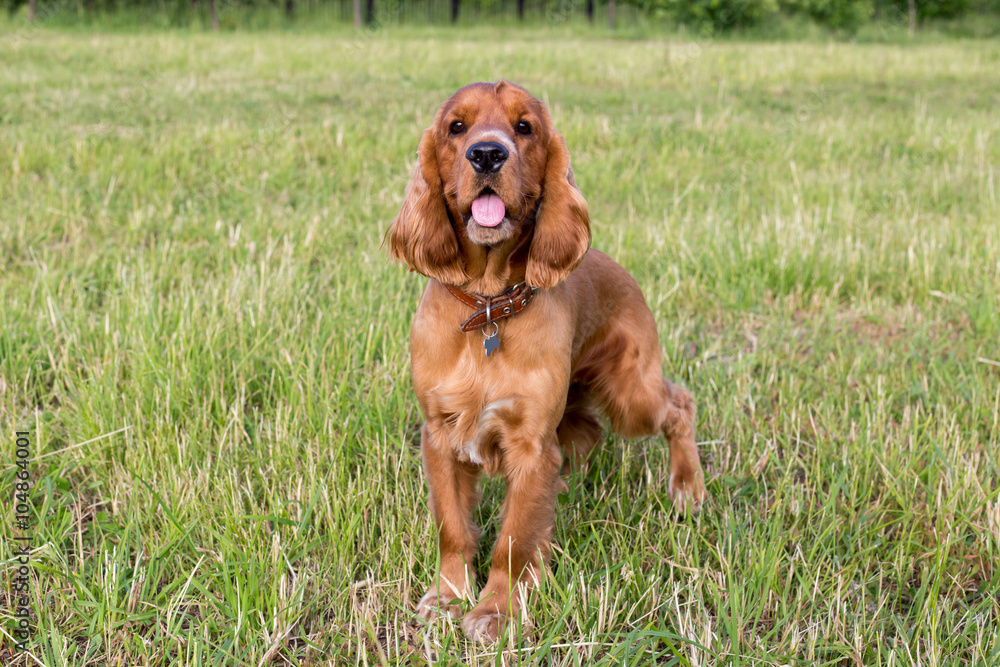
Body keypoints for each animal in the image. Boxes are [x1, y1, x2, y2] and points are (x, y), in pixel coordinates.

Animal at [386, 82, 708, 640]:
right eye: (456, 127)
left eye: (524, 127)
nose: (486, 154)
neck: (488, 306)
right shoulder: (441, 433)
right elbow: (453, 527)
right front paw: (448, 598)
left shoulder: (532, 442)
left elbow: (513, 541)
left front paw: (494, 611)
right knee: (588, 432)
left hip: (632, 394)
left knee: (678, 404)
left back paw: (687, 487)